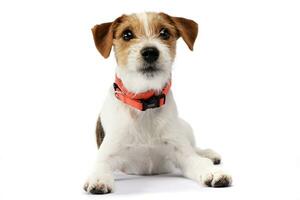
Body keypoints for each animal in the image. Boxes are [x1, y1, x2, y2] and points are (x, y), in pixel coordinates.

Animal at [84, 11, 232, 194]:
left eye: (164, 33)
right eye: (127, 34)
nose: (150, 52)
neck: (146, 104)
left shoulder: (183, 154)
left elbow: (196, 160)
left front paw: (212, 172)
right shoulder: (108, 153)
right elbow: (100, 165)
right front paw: (98, 179)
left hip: (185, 128)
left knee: (195, 148)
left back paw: (208, 154)